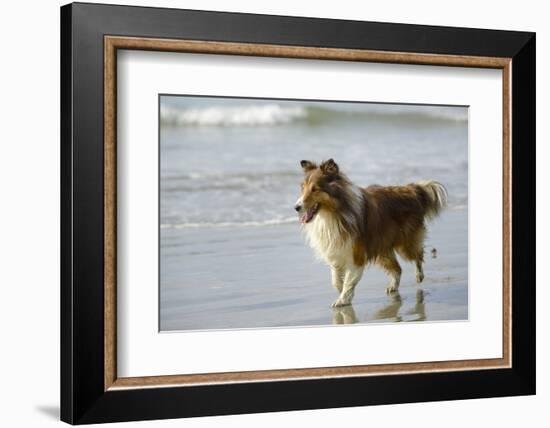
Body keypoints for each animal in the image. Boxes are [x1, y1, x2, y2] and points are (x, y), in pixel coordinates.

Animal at [296, 159, 446, 306]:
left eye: (315, 189)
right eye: (303, 188)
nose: (296, 207)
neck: (333, 214)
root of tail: (412, 190)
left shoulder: (356, 254)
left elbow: (349, 280)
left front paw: (342, 300)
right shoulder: (336, 251)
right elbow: (336, 278)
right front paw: (341, 291)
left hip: (405, 245)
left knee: (418, 256)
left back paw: (419, 275)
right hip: (382, 249)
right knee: (398, 269)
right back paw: (393, 286)